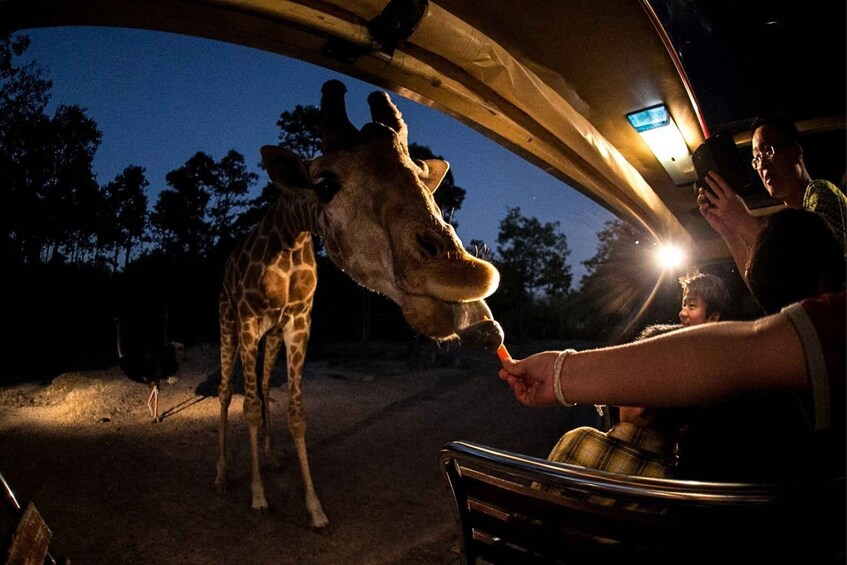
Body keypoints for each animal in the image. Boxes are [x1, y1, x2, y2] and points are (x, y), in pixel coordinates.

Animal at [216, 80, 502, 528]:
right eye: (325, 186)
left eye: (423, 178)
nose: (466, 274)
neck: (286, 243)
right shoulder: (248, 322)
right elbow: (246, 405)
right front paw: (259, 498)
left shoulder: (299, 325)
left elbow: (295, 413)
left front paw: (314, 509)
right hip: (229, 322)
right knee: (229, 392)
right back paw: (222, 476)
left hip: (271, 336)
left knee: (261, 386)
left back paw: (271, 458)